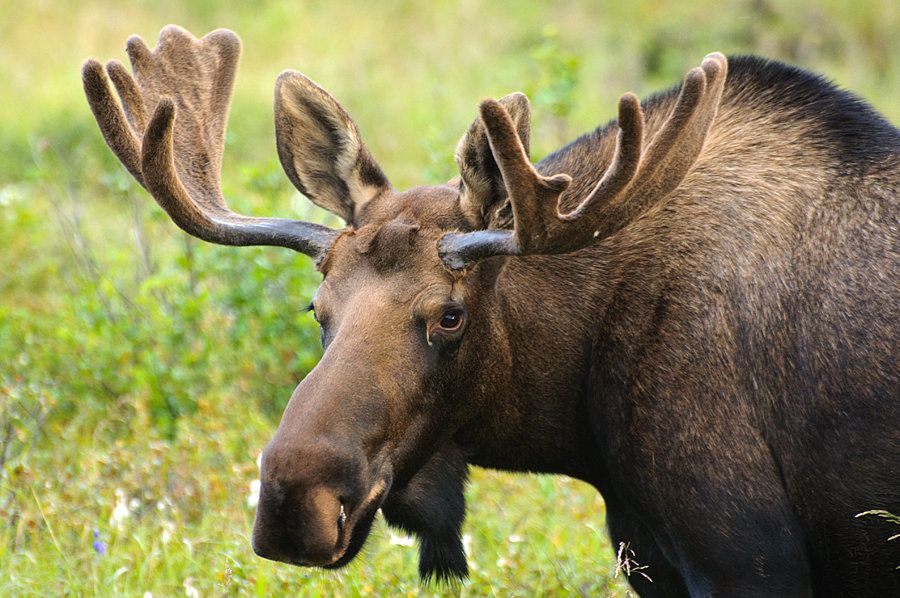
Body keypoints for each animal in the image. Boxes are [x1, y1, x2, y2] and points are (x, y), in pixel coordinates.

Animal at [83, 25, 899, 597]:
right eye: (317, 308)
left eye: (450, 316)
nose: (292, 502)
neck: (574, 417)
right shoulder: (652, 555)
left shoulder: (748, 556)